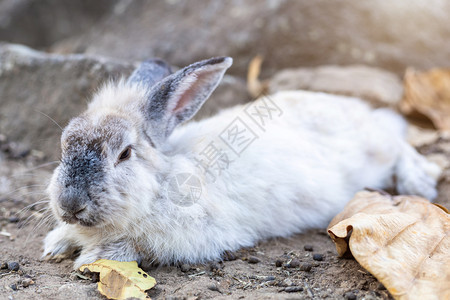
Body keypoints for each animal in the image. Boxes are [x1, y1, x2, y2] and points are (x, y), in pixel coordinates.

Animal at [43, 56, 440, 270]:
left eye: (124, 153)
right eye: (64, 147)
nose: (71, 204)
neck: (161, 180)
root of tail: (362, 112)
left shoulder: (192, 233)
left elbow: (139, 246)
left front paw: (91, 257)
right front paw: (55, 245)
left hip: (377, 148)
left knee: (399, 142)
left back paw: (419, 182)